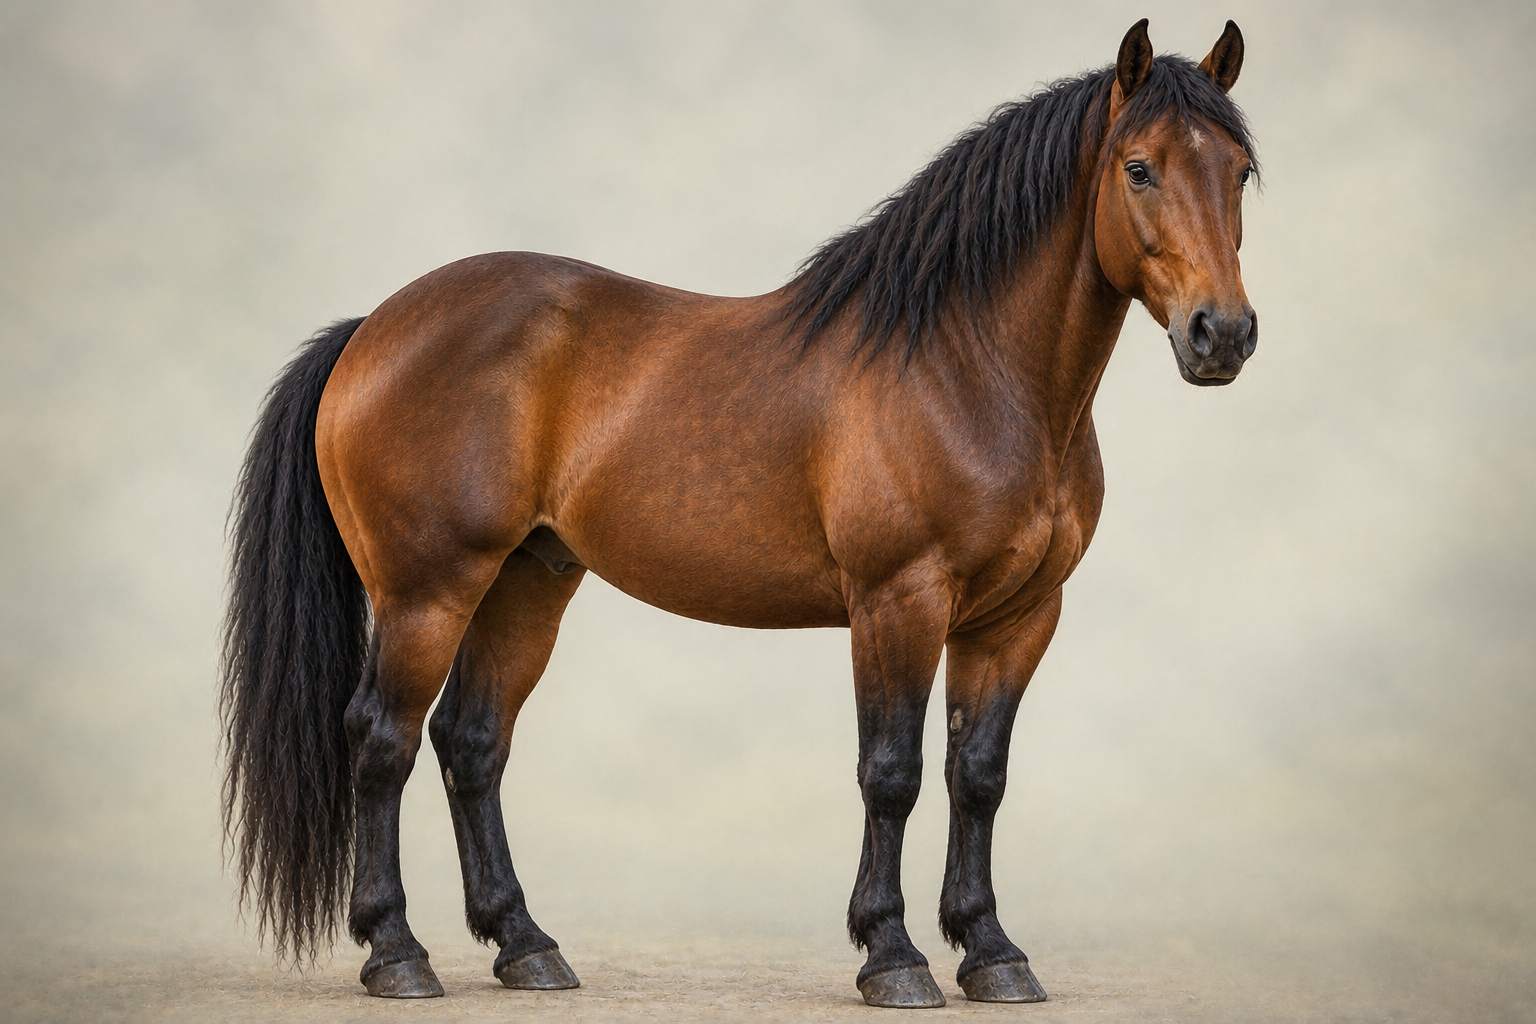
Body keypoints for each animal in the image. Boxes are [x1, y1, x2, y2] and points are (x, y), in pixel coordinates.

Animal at [220, 19, 1258, 1009]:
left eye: (1241, 171)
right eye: (1139, 168)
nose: (1224, 334)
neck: (965, 368)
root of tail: (373, 328)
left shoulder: (1018, 618)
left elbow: (978, 777)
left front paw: (993, 952)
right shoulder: (899, 602)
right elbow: (892, 773)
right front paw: (893, 956)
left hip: (526, 582)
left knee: (470, 743)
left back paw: (527, 945)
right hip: (427, 591)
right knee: (381, 740)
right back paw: (397, 953)